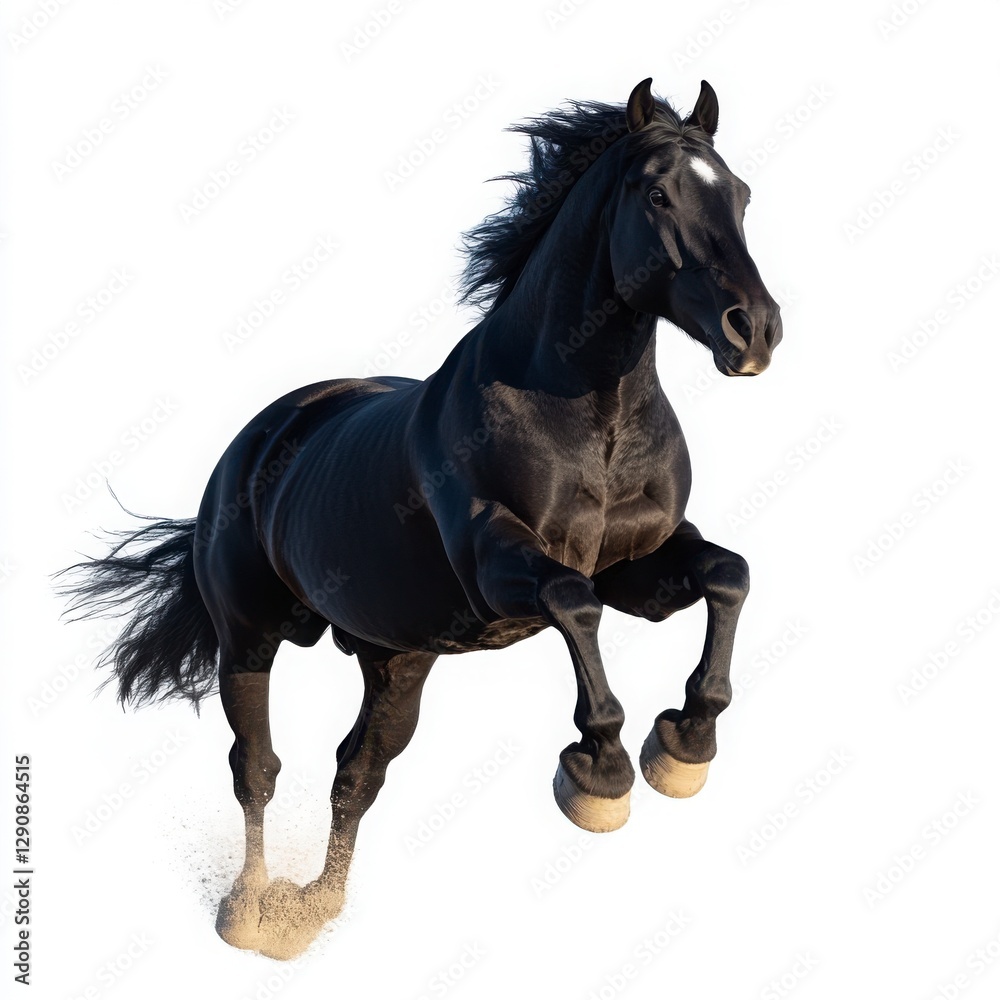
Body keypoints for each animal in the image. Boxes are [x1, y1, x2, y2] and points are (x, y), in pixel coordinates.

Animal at [60, 77, 782, 960]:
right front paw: (602, 773)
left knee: (357, 772)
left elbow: (727, 573)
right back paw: (252, 911)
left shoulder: (639, 569)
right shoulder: (501, 569)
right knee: (256, 766)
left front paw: (685, 744)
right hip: (249, 636)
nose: (756, 330)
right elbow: (575, 606)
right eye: (656, 193)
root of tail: (261, 436)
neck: (590, 420)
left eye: (740, 194)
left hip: (396, 659)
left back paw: (313, 908)